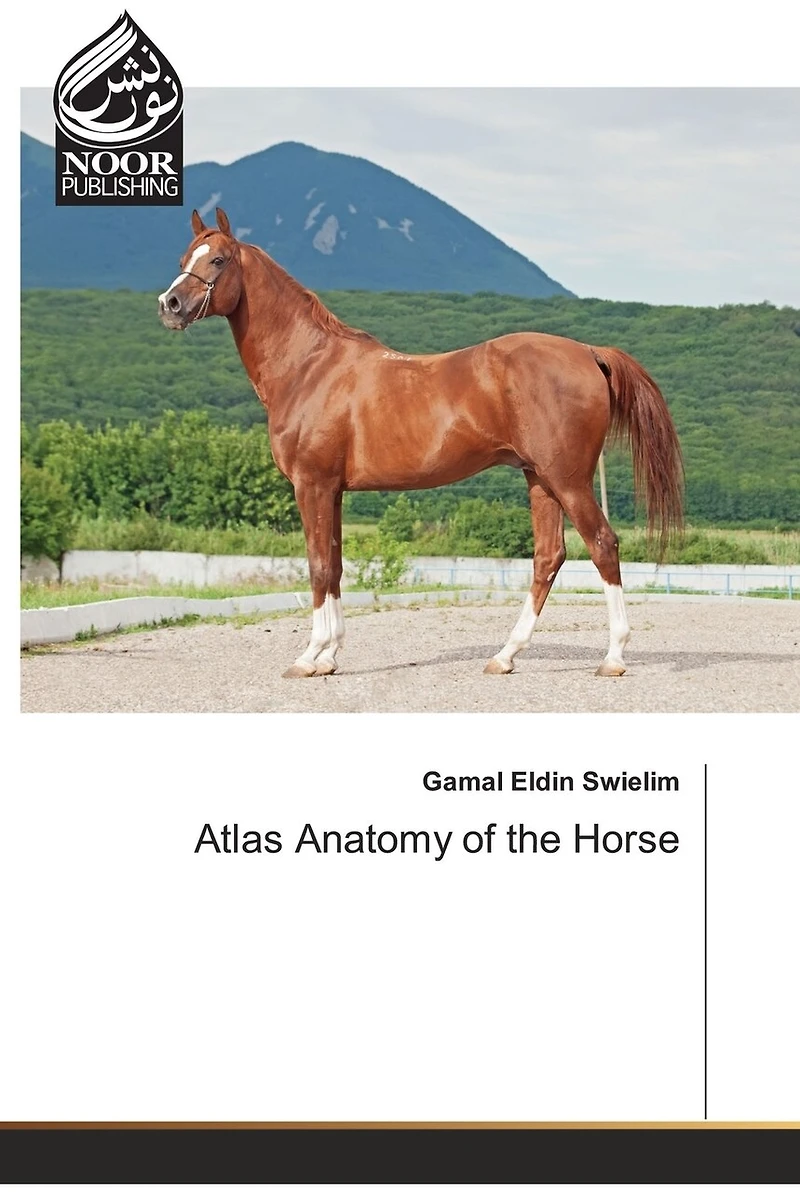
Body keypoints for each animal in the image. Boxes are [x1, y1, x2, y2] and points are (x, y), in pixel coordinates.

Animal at [158, 207, 683, 680]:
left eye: (219, 259)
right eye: (185, 255)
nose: (170, 304)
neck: (309, 367)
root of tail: (589, 353)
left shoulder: (312, 485)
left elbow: (318, 567)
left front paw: (309, 658)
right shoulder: (334, 491)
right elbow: (336, 565)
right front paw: (329, 657)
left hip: (568, 480)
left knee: (603, 545)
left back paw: (613, 657)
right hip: (540, 480)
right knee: (548, 557)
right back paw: (505, 656)